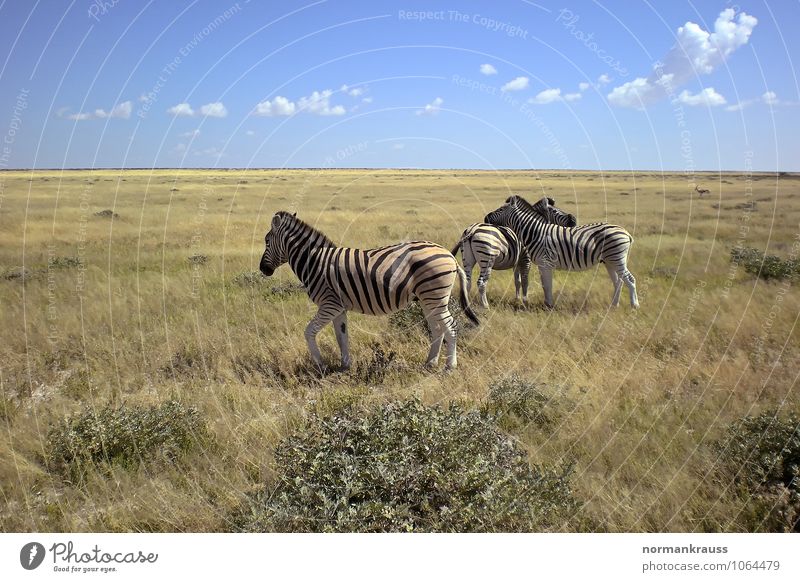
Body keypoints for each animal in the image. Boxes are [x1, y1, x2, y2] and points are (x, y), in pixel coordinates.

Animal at [260, 212, 478, 372]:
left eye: (267, 241)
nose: (263, 269)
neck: (314, 262)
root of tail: (450, 255)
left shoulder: (329, 303)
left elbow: (309, 331)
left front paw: (320, 365)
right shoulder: (339, 307)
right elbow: (341, 336)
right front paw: (344, 366)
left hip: (435, 296)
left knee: (450, 326)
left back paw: (450, 366)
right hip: (428, 299)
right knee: (437, 328)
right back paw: (430, 363)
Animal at [484, 196, 640, 310]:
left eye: (501, 209)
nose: (486, 217)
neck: (535, 232)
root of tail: (625, 232)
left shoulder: (545, 263)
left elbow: (547, 285)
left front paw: (548, 305)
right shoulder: (542, 264)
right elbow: (544, 284)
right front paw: (546, 303)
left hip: (617, 258)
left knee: (630, 279)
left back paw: (634, 306)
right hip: (609, 261)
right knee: (618, 282)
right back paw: (614, 305)